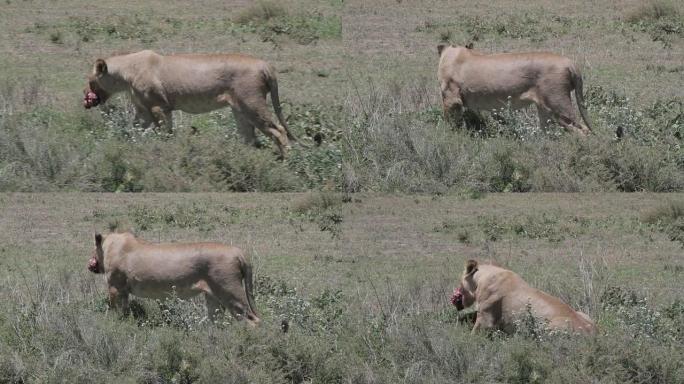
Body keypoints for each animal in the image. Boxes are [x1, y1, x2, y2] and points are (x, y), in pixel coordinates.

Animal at [84, 50, 298, 158]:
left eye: (90, 81)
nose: (86, 96)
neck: (125, 76)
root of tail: (266, 65)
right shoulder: (144, 111)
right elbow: (133, 130)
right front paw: (122, 144)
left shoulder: (159, 107)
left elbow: (165, 133)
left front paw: (165, 150)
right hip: (240, 109)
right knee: (249, 138)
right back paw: (244, 159)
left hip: (251, 103)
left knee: (278, 130)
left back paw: (287, 161)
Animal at [89, 232, 260, 326]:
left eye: (92, 249)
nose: (90, 263)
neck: (110, 244)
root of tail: (239, 253)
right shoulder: (123, 291)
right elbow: (124, 311)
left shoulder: (115, 287)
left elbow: (116, 311)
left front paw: (115, 325)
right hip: (213, 297)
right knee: (216, 320)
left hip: (229, 290)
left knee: (252, 320)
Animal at [440, 44, 592, 135]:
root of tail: (571, 63)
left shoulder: (451, 99)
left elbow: (450, 124)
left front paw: (449, 137)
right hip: (544, 109)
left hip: (558, 105)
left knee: (582, 131)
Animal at [448, 260, 592, 334]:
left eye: (460, 282)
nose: (453, 297)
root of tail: (593, 334)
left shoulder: (486, 319)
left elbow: (473, 334)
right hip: (583, 313)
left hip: (551, 326)